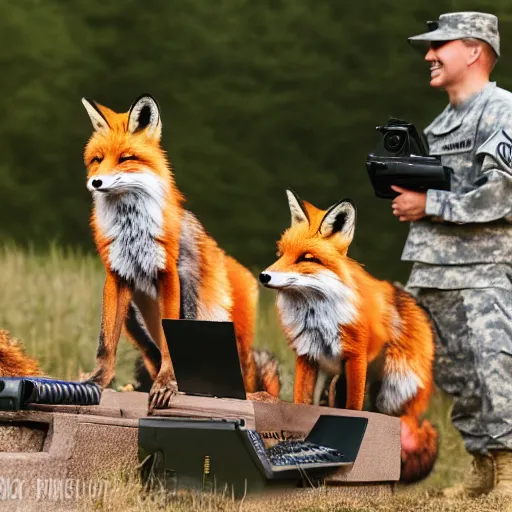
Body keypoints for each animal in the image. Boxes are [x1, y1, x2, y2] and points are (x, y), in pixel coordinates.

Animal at [80, 95, 280, 408]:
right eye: (97, 159)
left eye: (126, 158)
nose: (96, 182)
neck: (132, 231)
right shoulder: (117, 275)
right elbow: (105, 342)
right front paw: (98, 381)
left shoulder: (169, 274)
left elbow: (169, 341)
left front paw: (166, 384)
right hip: (135, 318)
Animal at [260, 190, 440, 482]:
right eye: (281, 253)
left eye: (306, 257)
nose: (263, 276)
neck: (318, 320)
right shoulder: (307, 356)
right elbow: (302, 403)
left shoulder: (355, 359)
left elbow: (354, 409)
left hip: (393, 390)